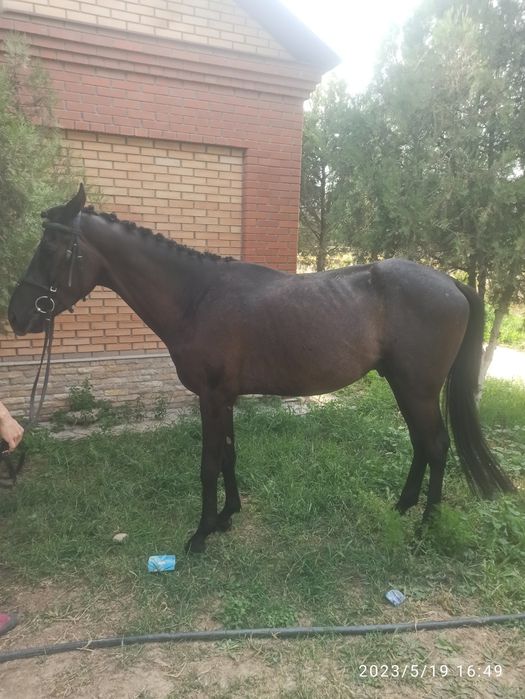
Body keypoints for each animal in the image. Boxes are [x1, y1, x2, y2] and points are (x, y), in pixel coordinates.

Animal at [8, 185, 515, 552]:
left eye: (51, 247)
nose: (16, 315)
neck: (198, 297)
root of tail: (452, 283)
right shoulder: (225, 398)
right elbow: (229, 456)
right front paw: (227, 517)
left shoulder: (211, 397)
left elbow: (208, 463)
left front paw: (201, 534)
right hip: (404, 387)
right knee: (421, 444)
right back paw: (402, 507)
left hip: (418, 389)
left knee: (436, 446)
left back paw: (427, 524)